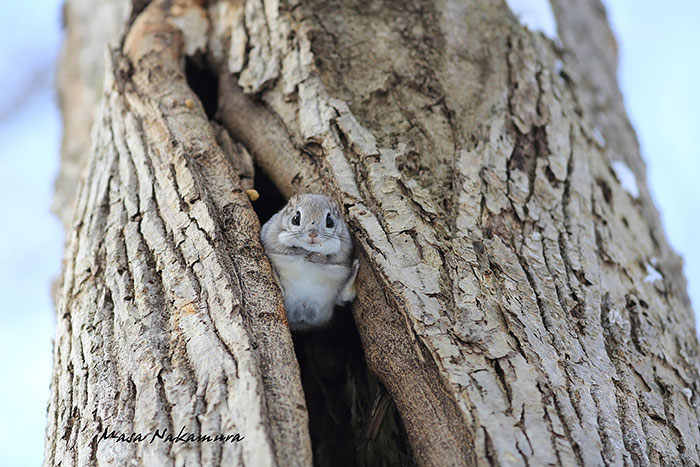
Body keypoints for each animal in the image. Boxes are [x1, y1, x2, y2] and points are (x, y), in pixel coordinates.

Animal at [260, 194, 359, 330]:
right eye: (296, 218)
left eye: (330, 221)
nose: (313, 234)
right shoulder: (271, 235)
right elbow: (285, 249)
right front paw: (303, 251)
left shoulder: (345, 248)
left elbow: (333, 258)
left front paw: (316, 257)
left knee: (344, 296)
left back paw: (355, 267)